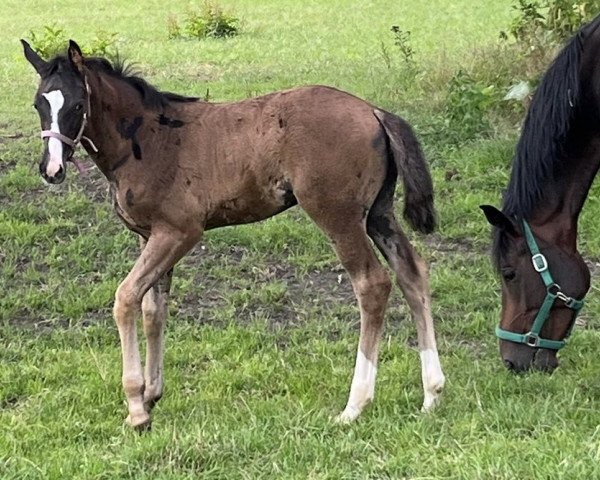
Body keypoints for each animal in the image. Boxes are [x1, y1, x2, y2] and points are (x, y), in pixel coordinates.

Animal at [22, 38, 446, 428]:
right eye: (39, 104)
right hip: (378, 214)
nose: (51, 169)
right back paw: (432, 393)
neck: (148, 138)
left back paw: (355, 405)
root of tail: (374, 111)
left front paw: (136, 408)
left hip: (337, 215)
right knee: (412, 273)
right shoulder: (149, 234)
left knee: (372, 284)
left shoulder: (179, 231)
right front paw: (152, 394)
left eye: (78, 105)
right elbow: (153, 310)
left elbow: (126, 299)